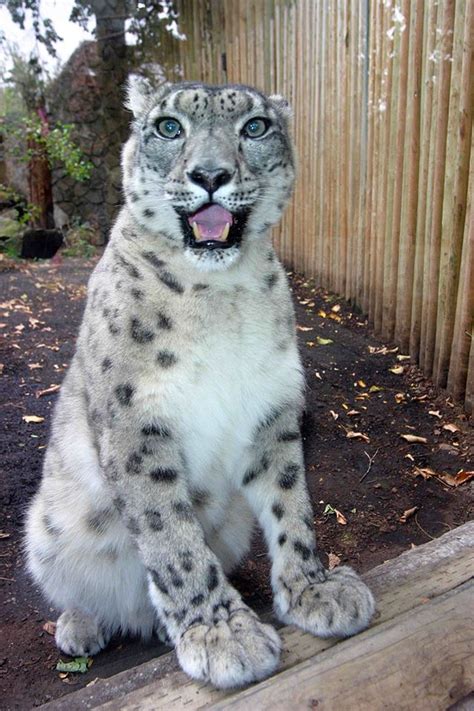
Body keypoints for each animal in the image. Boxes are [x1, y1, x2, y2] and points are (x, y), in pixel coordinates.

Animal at [25, 78, 374, 688]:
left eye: (255, 127)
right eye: (169, 127)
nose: (210, 174)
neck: (219, 295)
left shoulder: (272, 410)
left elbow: (292, 504)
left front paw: (315, 590)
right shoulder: (135, 426)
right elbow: (171, 533)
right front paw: (222, 634)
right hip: (44, 530)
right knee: (76, 591)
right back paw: (82, 625)